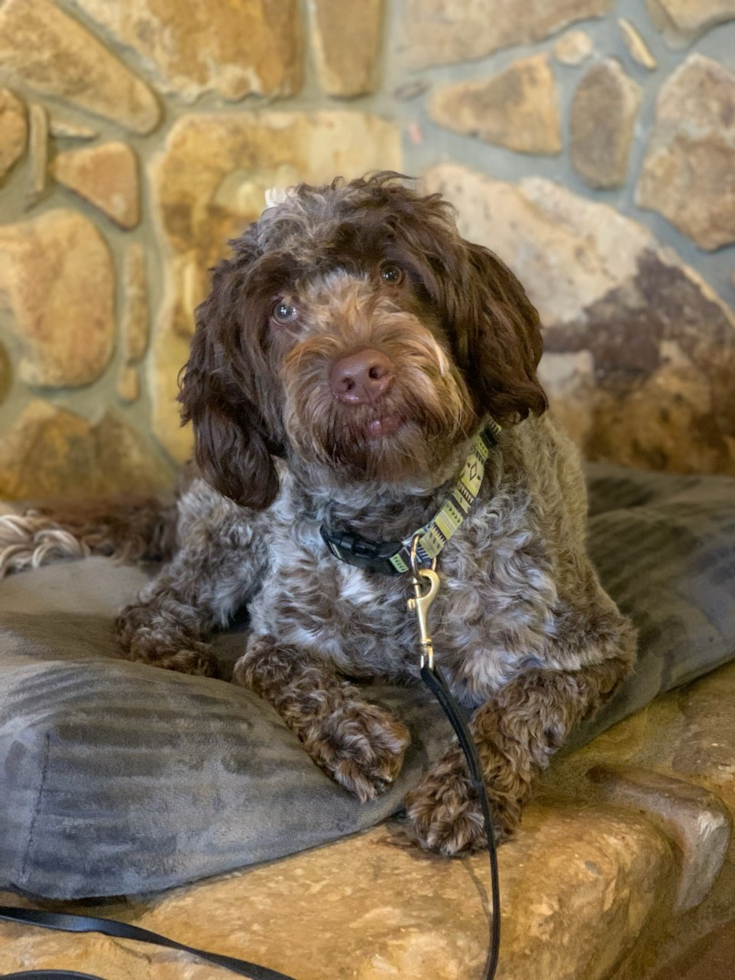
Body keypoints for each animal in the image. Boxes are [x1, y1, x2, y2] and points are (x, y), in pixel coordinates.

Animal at [1, 178, 640, 856]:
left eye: (393, 273)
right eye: (281, 310)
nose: (360, 373)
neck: (396, 539)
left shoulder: (593, 646)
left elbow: (523, 703)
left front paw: (469, 791)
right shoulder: (281, 631)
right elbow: (274, 668)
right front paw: (354, 731)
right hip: (233, 533)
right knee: (149, 608)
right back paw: (171, 648)